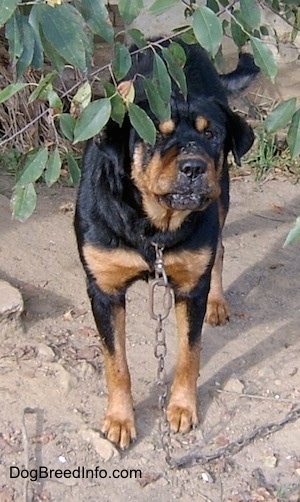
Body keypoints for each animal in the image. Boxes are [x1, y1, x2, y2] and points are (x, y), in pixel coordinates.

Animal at [74, 38, 258, 448]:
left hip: (221, 199)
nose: (193, 167)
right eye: (156, 134)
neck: (153, 227)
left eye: (211, 135)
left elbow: (190, 352)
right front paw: (120, 418)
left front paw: (182, 407)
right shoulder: (104, 290)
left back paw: (218, 302)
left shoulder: (189, 288)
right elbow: (116, 363)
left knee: (219, 249)